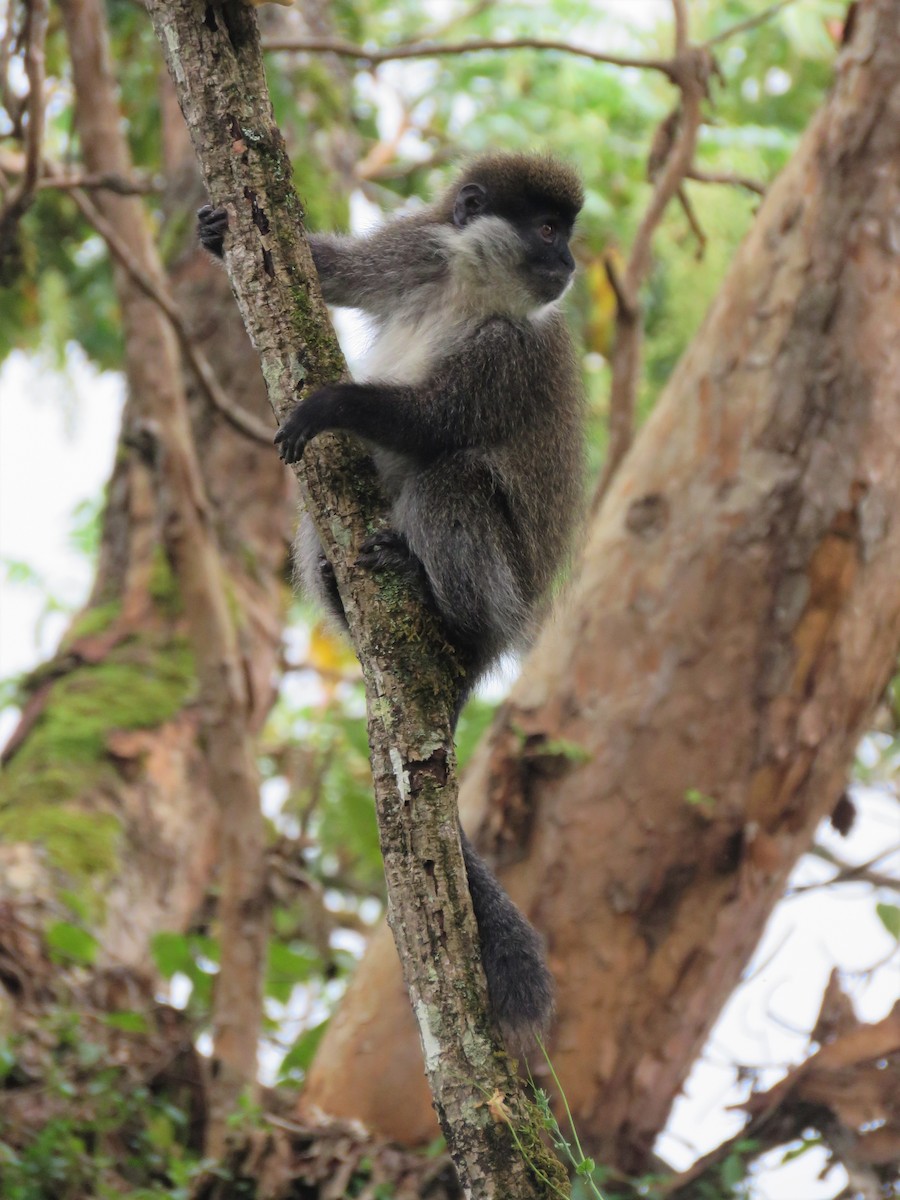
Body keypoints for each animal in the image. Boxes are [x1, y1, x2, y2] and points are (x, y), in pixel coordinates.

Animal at [198, 153, 585, 1044]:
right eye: (549, 229)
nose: (572, 262)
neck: (472, 292)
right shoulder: (420, 253)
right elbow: (338, 272)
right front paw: (219, 230)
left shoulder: (512, 350)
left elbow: (437, 424)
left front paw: (335, 403)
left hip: (500, 589)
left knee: (453, 478)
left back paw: (438, 607)